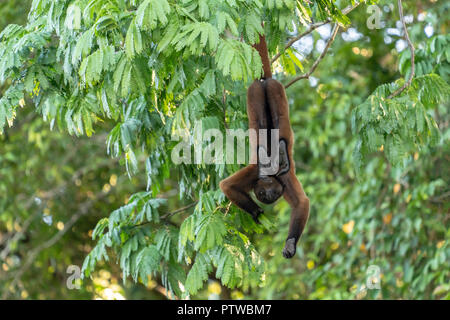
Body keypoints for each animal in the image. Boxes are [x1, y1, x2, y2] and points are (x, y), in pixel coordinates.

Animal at [218, 35, 310, 258]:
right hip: (254, 94)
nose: (267, 193)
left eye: (272, 194)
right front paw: (256, 211)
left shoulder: (283, 177)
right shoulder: (255, 173)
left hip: (273, 90)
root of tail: (263, 82)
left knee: (275, 105)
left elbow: (302, 203)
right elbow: (227, 186)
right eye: (263, 195)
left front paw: (290, 244)